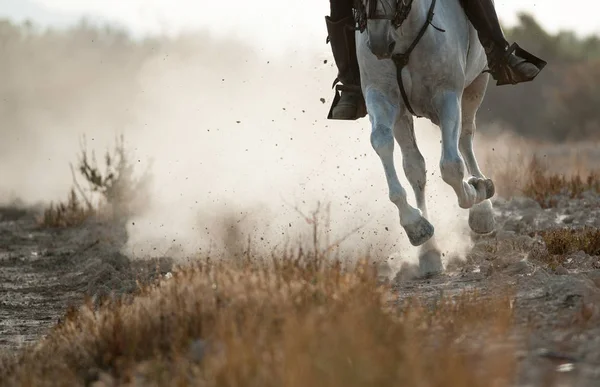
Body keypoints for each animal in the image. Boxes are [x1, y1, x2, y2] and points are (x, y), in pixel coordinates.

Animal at [356, 0, 496, 278]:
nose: (378, 43)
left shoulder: (447, 96)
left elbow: (451, 166)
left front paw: (474, 191)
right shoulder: (383, 96)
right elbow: (382, 142)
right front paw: (414, 224)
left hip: (477, 83)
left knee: (465, 138)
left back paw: (482, 208)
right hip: (404, 115)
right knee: (415, 167)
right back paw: (429, 253)